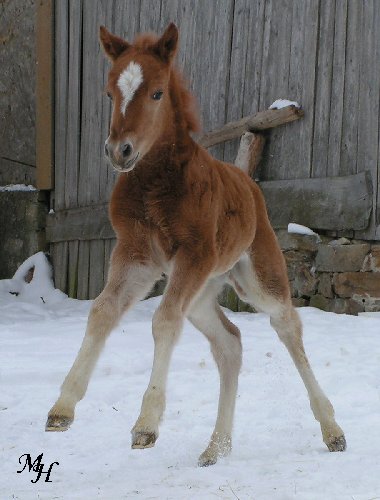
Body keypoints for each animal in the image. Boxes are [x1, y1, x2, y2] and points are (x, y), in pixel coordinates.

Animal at [46, 23, 346, 466]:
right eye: (109, 94)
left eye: (156, 93)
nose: (119, 151)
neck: (155, 184)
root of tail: (247, 183)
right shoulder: (136, 255)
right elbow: (102, 312)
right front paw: (62, 409)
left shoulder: (193, 254)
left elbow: (163, 320)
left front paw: (146, 425)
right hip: (203, 292)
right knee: (230, 343)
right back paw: (216, 448)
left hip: (254, 276)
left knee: (286, 324)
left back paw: (332, 430)